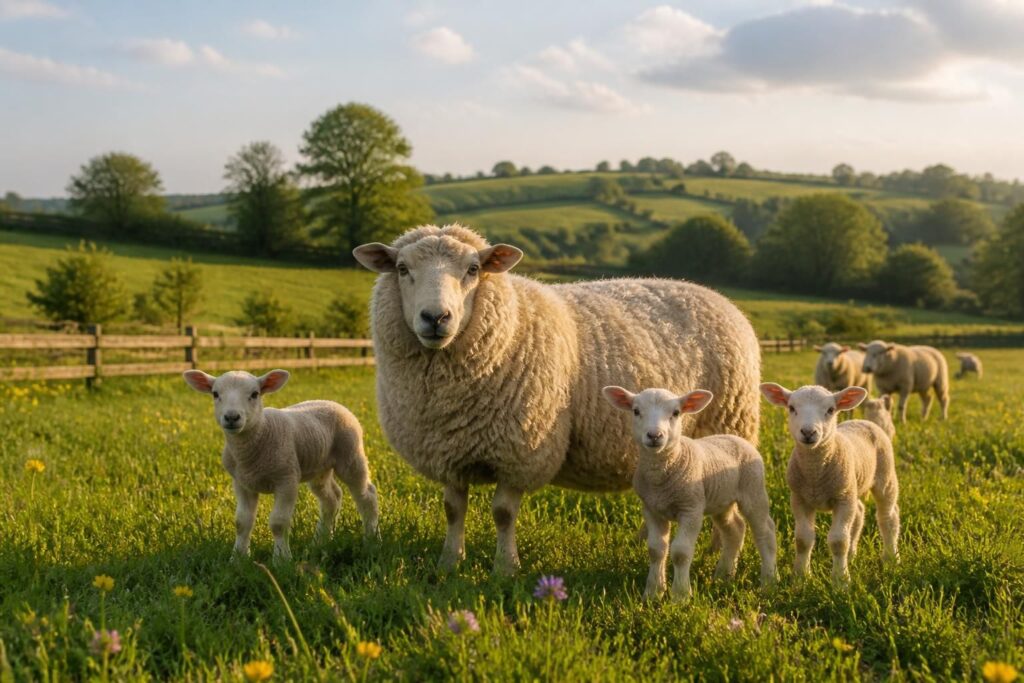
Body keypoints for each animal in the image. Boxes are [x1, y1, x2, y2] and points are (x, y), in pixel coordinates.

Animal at [182, 369, 379, 560]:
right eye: (215, 394)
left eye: (255, 394)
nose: (231, 417)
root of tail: (332, 402)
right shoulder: (242, 483)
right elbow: (242, 522)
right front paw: (238, 558)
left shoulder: (286, 480)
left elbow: (278, 523)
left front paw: (281, 559)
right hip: (319, 466)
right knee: (331, 498)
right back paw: (320, 541)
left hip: (350, 455)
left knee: (366, 495)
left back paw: (371, 538)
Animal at [353, 224, 762, 575]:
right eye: (402, 269)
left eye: (473, 269)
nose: (435, 317)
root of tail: (720, 299)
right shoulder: (448, 451)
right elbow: (453, 510)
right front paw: (449, 562)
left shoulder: (520, 452)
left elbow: (503, 514)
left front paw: (505, 568)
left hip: (727, 427)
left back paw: (714, 552)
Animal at [602, 386, 777, 600]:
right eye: (636, 411)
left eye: (676, 413)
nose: (654, 435)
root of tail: (736, 438)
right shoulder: (652, 509)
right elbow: (656, 550)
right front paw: (653, 593)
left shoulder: (691, 509)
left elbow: (681, 552)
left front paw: (681, 596)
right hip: (721, 500)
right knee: (735, 529)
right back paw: (723, 575)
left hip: (753, 489)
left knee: (765, 531)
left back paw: (769, 581)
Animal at [760, 383, 899, 584]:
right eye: (791, 408)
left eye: (831, 410)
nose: (808, 432)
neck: (815, 473)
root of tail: (865, 421)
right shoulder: (799, 499)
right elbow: (803, 539)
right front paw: (801, 576)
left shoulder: (842, 499)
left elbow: (838, 541)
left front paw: (840, 580)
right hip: (852, 486)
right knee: (859, 512)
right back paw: (852, 555)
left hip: (884, 476)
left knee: (888, 516)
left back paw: (891, 558)